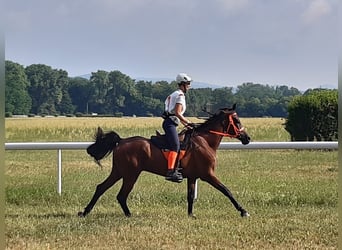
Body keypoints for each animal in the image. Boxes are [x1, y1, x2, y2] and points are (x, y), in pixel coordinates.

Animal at [77, 104, 251, 218]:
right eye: (236, 120)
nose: (247, 138)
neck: (204, 141)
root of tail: (121, 141)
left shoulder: (193, 177)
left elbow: (190, 196)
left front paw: (190, 215)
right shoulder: (207, 174)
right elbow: (226, 190)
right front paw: (243, 211)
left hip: (119, 172)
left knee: (101, 187)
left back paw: (85, 212)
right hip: (130, 174)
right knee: (121, 195)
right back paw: (128, 214)